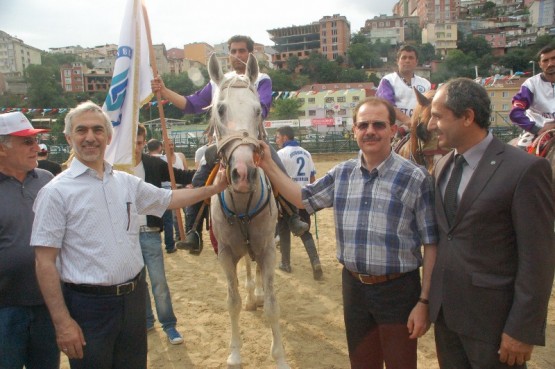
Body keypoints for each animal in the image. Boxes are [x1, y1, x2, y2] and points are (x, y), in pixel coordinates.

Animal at [208, 52, 292, 368]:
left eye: (259, 110)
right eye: (220, 109)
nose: (243, 174)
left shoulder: (267, 249)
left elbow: (272, 305)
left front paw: (279, 357)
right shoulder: (225, 253)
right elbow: (231, 302)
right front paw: (234, 353)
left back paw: (255, 294)